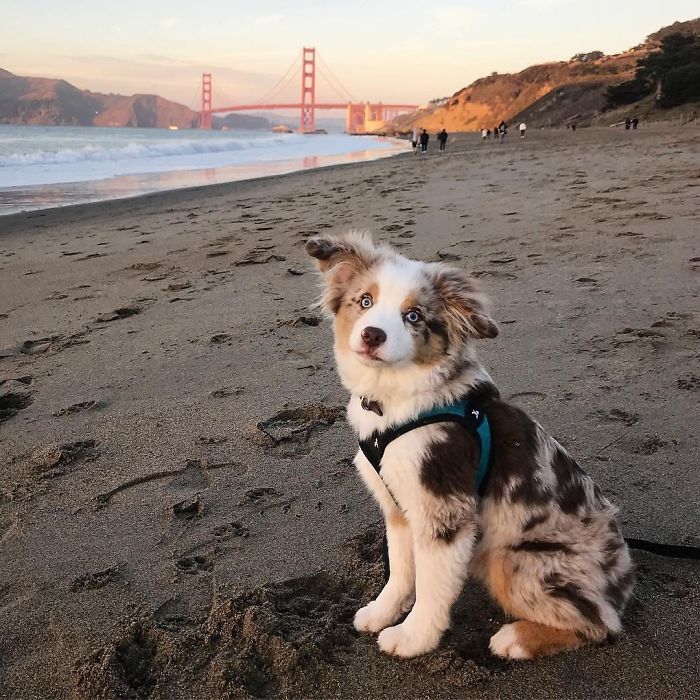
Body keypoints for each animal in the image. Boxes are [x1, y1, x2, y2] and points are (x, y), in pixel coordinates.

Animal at [306, 232, 636, 660]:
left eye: (414, 316)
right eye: (365, 300)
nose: (372, 334)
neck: (396, 400)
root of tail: (623, 583)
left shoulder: (445, 508)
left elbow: (431, 584)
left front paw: (412, 638)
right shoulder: (399, 507)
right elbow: (400, 569)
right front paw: (381, 612)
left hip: (514, 560)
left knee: (599, 622)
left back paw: (515, 639)